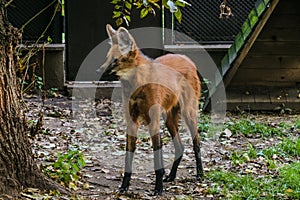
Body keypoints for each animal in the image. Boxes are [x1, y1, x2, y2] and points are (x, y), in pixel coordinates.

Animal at [99, 24, 203, 195]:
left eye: (115, 60)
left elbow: (157, 155)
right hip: (168, 118)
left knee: (196, 143)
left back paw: (200, 174)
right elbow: (128, 156)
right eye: (107, 58)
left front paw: (158, 188)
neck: (135, 85)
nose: (98, 71)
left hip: (188, 113)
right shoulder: (132, 121)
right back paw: (171, 176)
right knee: (180, 146)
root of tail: (186, 58)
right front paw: (124, 186)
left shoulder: (153, 120)